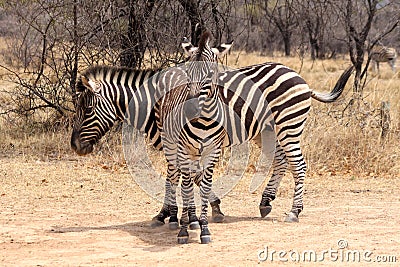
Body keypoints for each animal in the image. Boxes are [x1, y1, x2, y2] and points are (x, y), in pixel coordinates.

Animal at [155, 31, 354, 245]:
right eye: (187, 73)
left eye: (210, 74)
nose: (189, 110)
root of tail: (297, 76)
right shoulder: (177, 144)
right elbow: (182, 177)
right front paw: (179, 217)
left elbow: (184, 177)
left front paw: (180, 217)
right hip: (265, 131)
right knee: (281, 160)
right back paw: (266, 202)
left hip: (289, 125)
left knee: (298, 164)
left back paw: (294, 211)